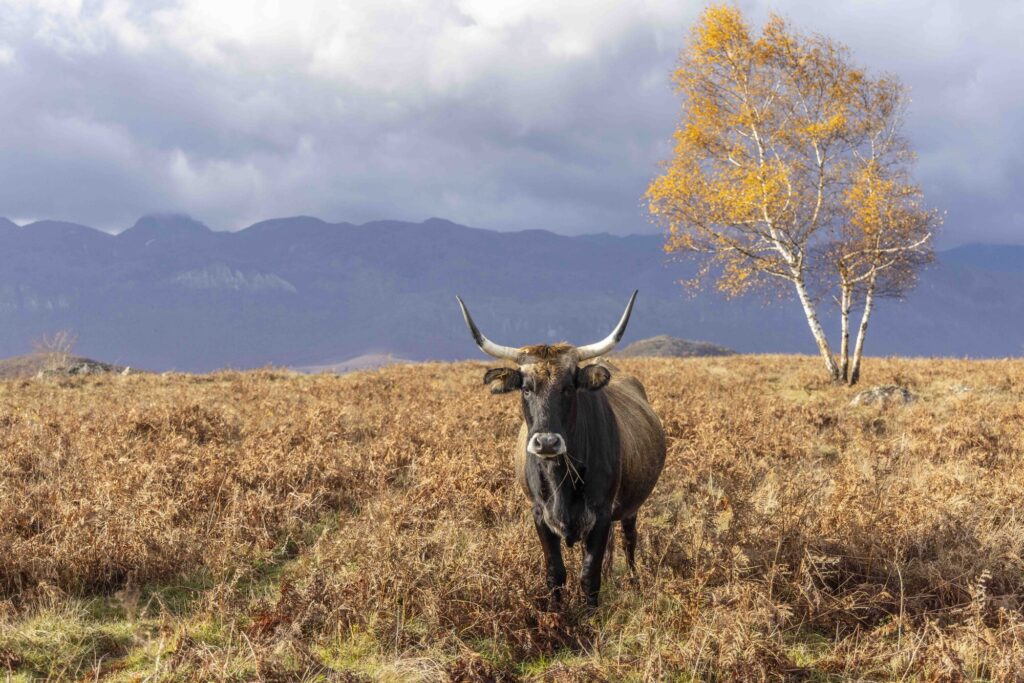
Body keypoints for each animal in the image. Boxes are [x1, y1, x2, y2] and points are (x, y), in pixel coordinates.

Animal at [456, 291, 666, 607]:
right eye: (526, 388)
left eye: (568, 387)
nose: (546, 442)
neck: (561, 478)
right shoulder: (540, 515)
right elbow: (555, 573)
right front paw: (556, 613)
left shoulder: (601, 515)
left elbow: (589, 577)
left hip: (632, 506)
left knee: (629, 541)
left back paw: (633, 582)